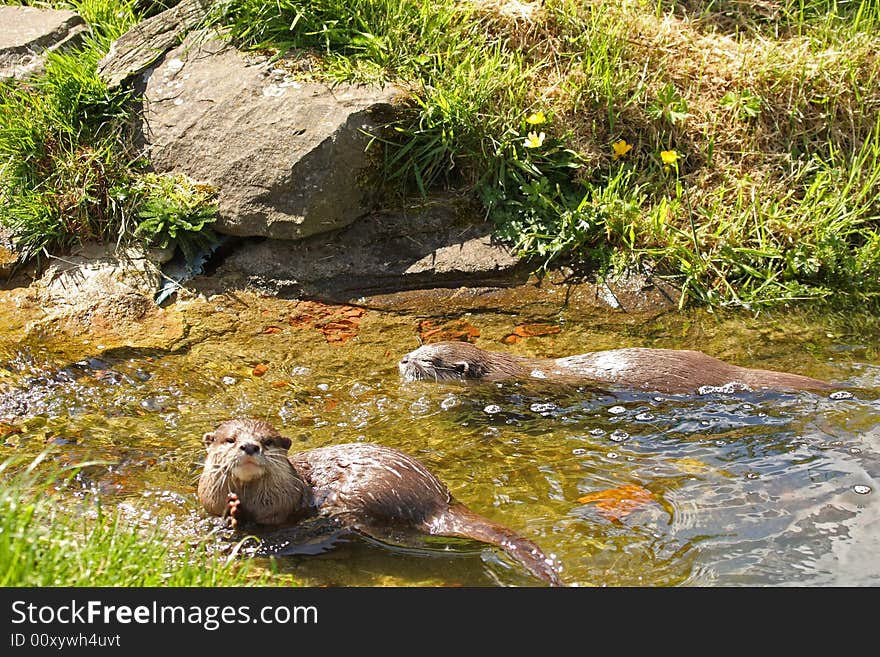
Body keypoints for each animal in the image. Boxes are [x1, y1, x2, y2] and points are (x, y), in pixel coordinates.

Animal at [196, 416, 560, 584]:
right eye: (231, 439)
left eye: (267, 440)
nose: (250, 446)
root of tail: (437, 499)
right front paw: (232, 511)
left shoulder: (286, 510)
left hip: (370, 492)